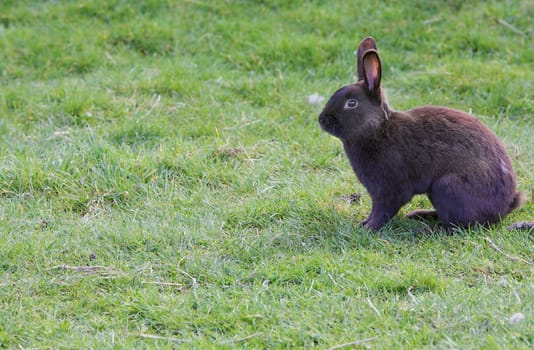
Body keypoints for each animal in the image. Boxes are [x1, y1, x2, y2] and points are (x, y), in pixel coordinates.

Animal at [320, 37, 524, 231]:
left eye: (351, 103)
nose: (321, 120)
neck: (378, 129)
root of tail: (505, 206)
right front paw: (364, 223)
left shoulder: (390, 189)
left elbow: (383, 210)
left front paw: (368, 228)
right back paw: (419, 215)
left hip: (447, 187)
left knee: (458, 226)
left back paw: (426, 229)